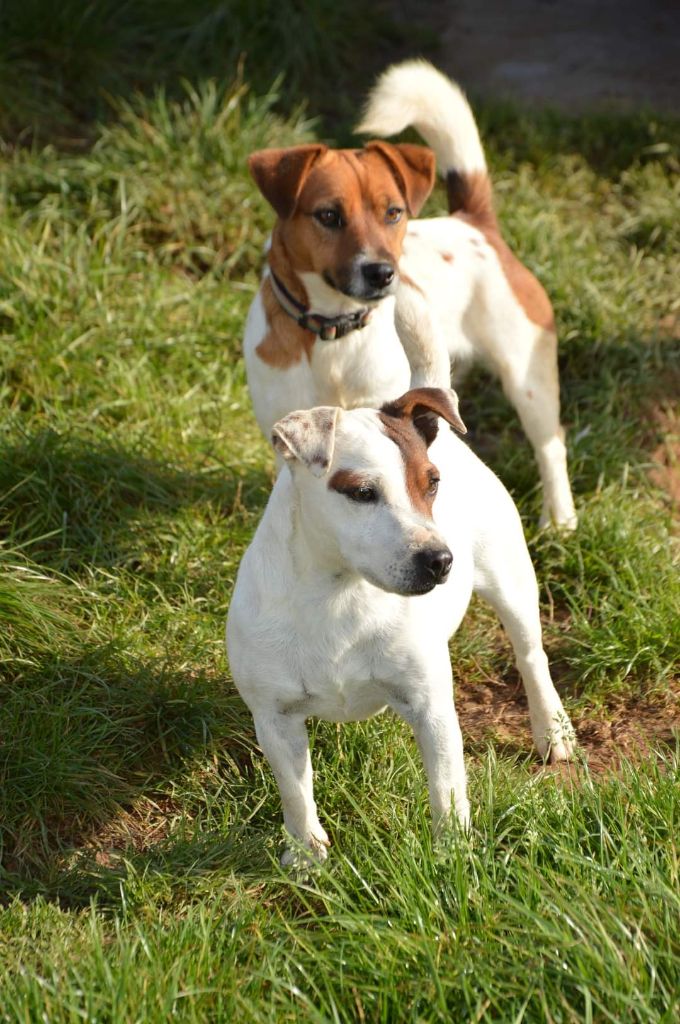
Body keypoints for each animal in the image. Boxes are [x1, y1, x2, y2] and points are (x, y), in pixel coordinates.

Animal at [228, 387, 573, 860]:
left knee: (531, 657)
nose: (440, 560)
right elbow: (296, 794)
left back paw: (551, 729)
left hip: (511, 584)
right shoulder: (274, 718)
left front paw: (452, 852)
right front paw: (305, 857)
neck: (339, 596)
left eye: (433, 482)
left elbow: (446, 788)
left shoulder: (432, 709)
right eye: (362, 492)